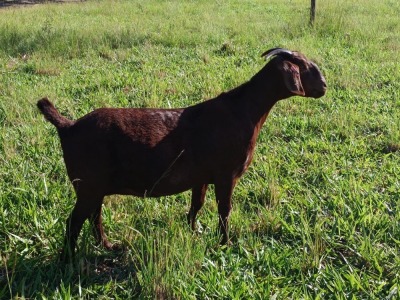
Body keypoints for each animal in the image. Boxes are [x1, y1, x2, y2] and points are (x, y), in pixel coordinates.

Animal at [37, 47, 326, 258]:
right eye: (306, 67)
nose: (324, 86)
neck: (244, 110)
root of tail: (68, 126)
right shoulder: (226, 175)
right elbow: (225, 210)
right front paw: (225, 242)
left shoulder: (201, 177)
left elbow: (196, 204)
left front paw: (193, 230)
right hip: (88, 185)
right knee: (75, 221)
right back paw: (69, 259)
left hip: (93, 187)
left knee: (93, 217)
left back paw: (107, 246)